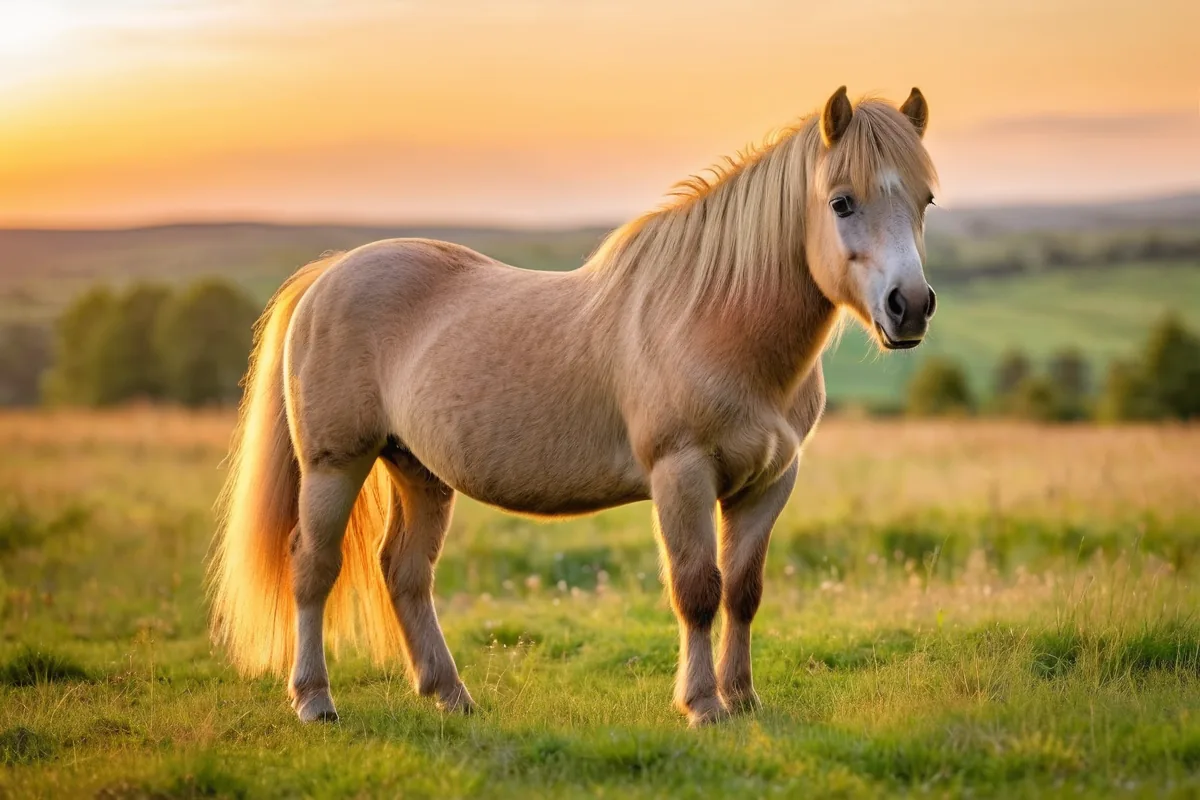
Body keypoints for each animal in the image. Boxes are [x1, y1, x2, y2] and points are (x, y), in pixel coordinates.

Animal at [209, 86, 938, 727]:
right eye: (841, 202)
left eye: (925, 199)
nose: (910, 306)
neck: (714, 320)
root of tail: (327, 273)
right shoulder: (682, 475)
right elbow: (698, 591)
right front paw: (704, 706)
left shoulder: (767, 484)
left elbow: (743, 592)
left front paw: (743, 698)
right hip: (334, 465)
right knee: (313, 567)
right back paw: (315, 701)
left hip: (417, 470)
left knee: (406, 572)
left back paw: (450, 696)